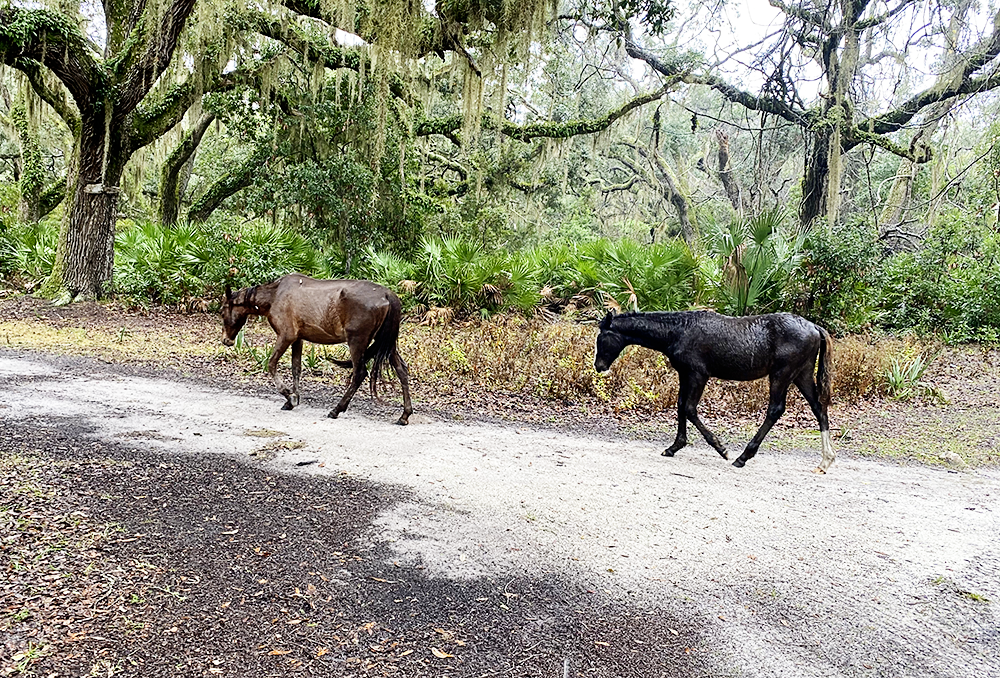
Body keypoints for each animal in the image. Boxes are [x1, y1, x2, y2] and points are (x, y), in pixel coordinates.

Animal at [223, 274, 414, 424]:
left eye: (222, 310)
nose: (226, 340)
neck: (275, 295)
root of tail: (387, 294)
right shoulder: (298, 339)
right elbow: (296, 368)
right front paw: (292, 399)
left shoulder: (286, 336)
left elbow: (271, 364)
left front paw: (289, 396)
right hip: (387, 344)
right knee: (401, 370)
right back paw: (404, 415)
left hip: (357, 342)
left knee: (359, 374)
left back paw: (336, 409)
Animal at [592, 312, 836, 476]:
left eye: (601, 337)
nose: (599, 366)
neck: (679, 331)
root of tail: (815, 327)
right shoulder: (685, 374)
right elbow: (680, 406)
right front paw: (674, 447)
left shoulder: (699, 375)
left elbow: (689, 409)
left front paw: (722, 449)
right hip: (801, 374)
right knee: (819, 408)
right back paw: (825, 461)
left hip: (782, 374)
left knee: (775, 410)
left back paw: (742, 457)